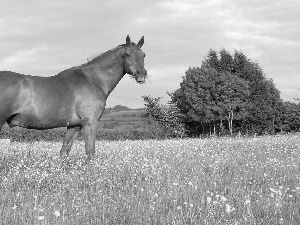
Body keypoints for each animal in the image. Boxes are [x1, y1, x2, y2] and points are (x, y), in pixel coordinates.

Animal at [0, 35, 146, 161]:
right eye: (128, 54)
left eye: (143, 55)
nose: (142, 75)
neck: (92, 80)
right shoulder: (89, 122)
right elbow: (90, 152)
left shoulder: (74, 126)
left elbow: (64, 151)